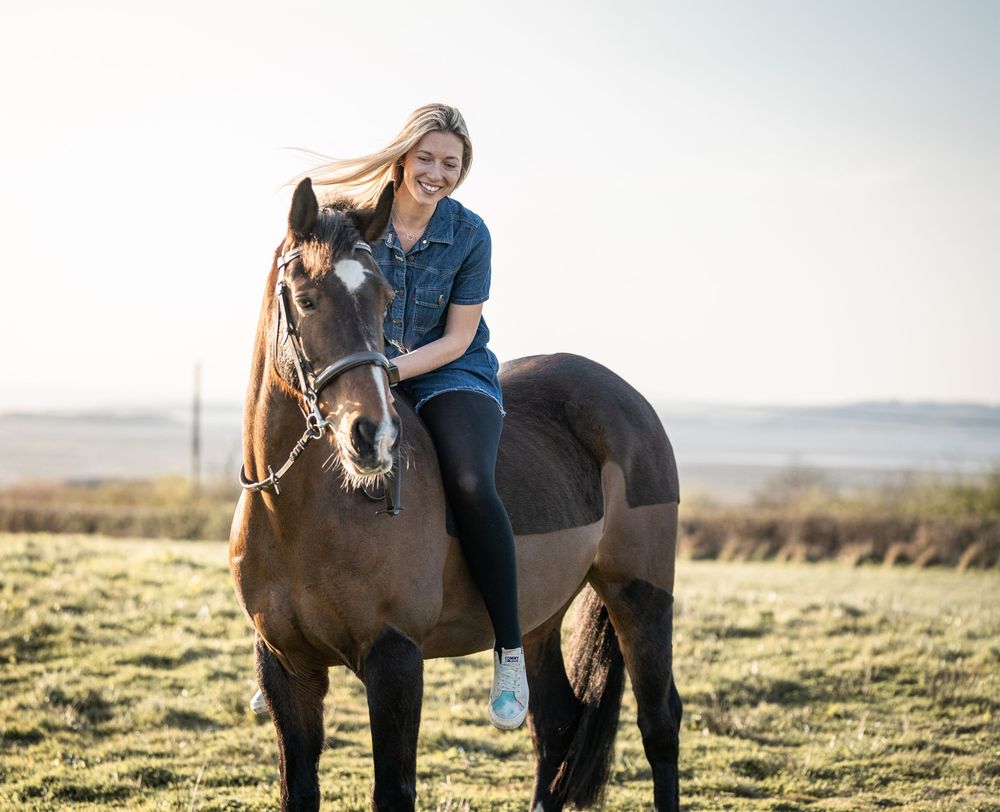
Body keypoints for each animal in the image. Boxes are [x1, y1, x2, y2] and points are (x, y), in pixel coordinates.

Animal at [229, 177, 682, 811]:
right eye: (307, 299)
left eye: (383, 298)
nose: (374, 436)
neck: (295, 515)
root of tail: (630, 398)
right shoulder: (285, 666)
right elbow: (298, 790)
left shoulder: (394, 659)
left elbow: (393, 791)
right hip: (540, 617)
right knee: (557, 724)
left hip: (639, 593)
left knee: (659, 722)